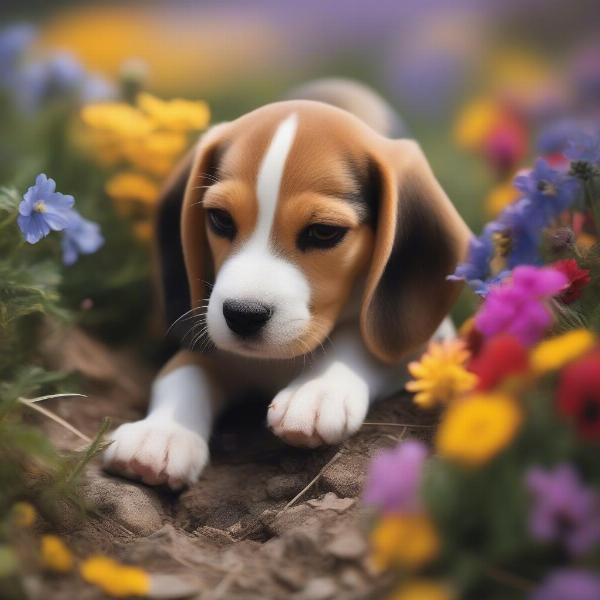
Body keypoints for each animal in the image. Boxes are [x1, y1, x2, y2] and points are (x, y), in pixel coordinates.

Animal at [102, 78, 468, 492]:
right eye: (220, 218)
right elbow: (183, 372)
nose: (243, 316)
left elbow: (361, 341)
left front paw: (317, 391)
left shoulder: (429, 344)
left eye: (324, 232)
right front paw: (162, 433)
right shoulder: (207, 334)